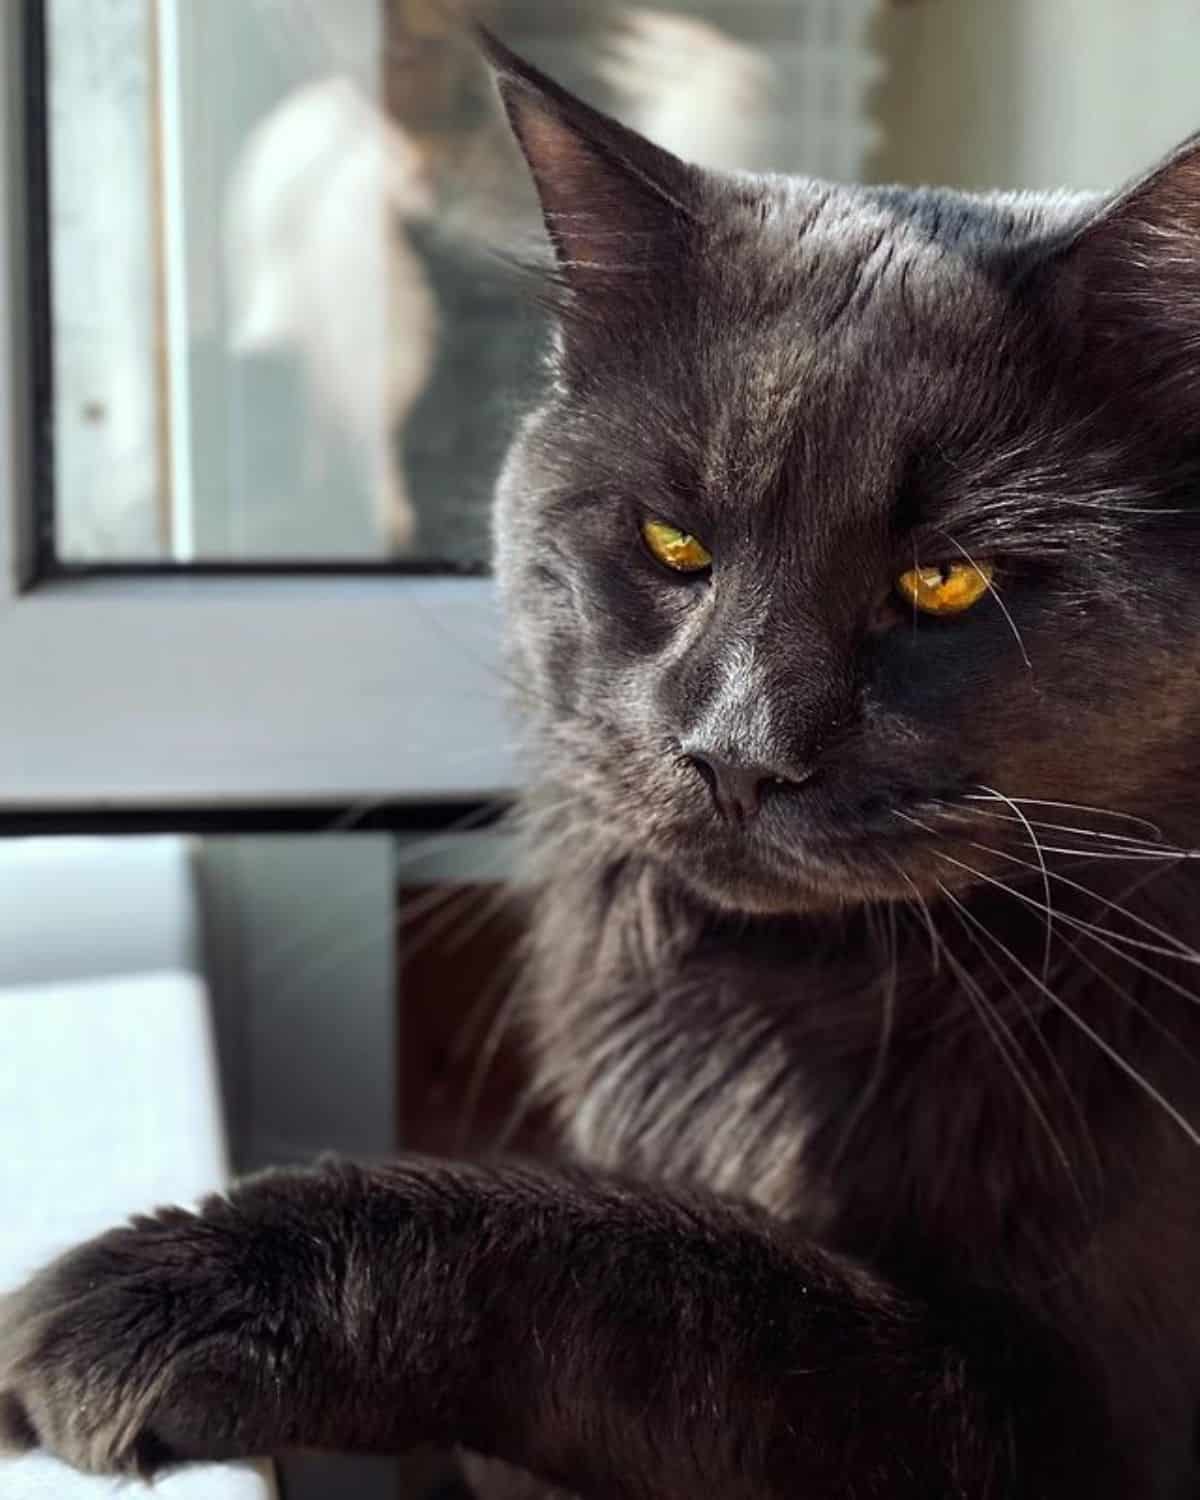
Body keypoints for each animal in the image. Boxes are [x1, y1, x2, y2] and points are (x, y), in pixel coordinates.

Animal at [2, 26, 1200, 1500]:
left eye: (943, 581)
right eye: (671, 542)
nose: (736, 754)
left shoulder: (1062, 1434)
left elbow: (659, 1271)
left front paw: (163, 1288)